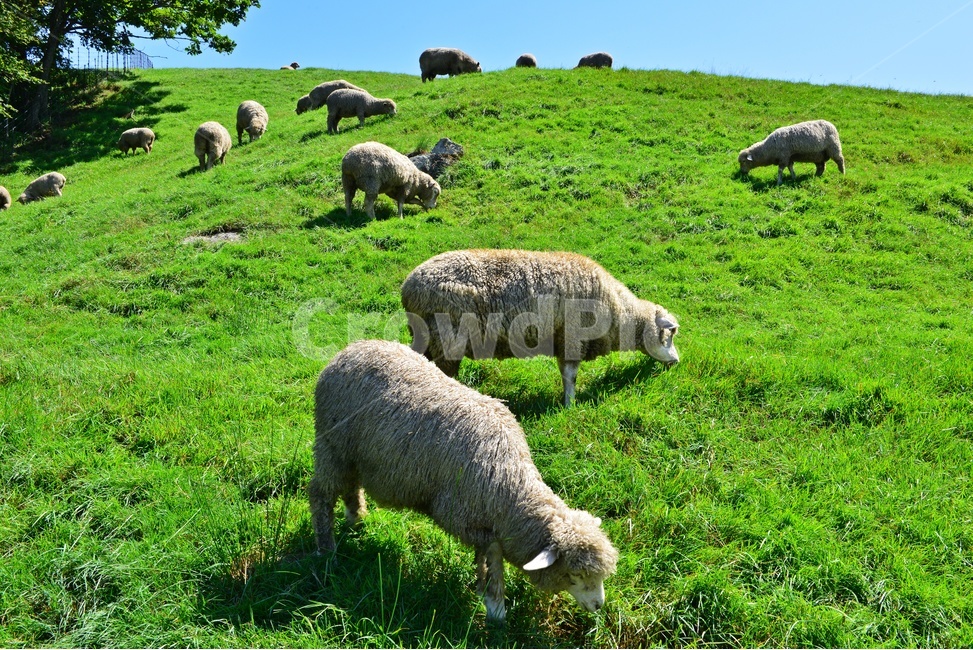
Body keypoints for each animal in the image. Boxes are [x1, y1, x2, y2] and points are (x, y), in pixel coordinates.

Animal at [309, 339, 619, 623]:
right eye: (574, 574)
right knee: (320, 495)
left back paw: (355, 518)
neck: (508, 488)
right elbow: (493, 560)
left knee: (351, 485)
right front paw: (496, 609)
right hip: (331, 444)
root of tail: (351, 348)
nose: (599, 606)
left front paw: (486, 596)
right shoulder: (467, 519)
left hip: (353, 454)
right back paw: (326, 550)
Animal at [401, 249, 680, 407]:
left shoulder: (562, 340)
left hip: (428, 338)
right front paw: (570, 405)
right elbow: (570, 377)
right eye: (669, 335)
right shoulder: (572, 338)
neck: (619, 313)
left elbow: (565, 374)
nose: (676, 361)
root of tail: (408, 288)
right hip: (445, 337)